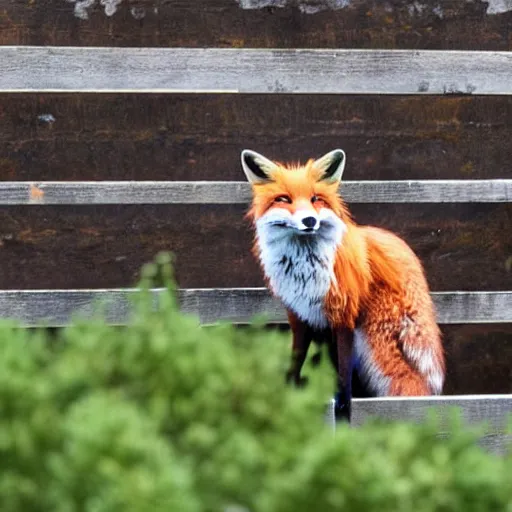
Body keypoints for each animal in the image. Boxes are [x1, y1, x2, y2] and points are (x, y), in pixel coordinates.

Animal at [240, 148, 444, 420]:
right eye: (284, 199)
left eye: (316, 199)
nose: (309, 221)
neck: (305, 269)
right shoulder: (299, 315)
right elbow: (297, 358)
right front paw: (289, 389)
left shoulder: (344, 314)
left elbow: (343, 368)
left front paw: (344, 404)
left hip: (375, 341)